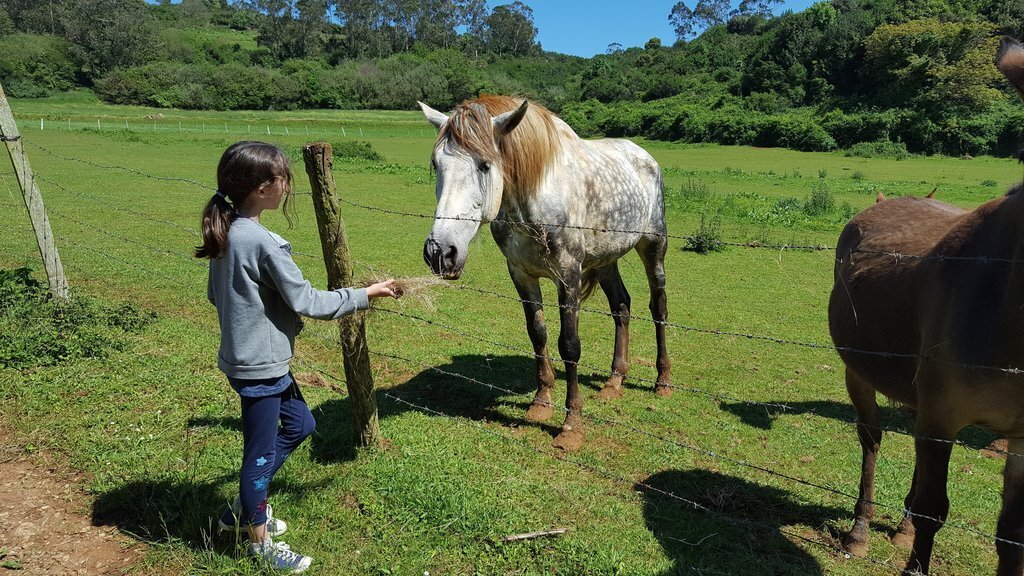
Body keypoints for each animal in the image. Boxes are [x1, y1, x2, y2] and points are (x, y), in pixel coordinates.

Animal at [418, 94, 671, 451]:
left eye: (485, 165)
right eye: (436, 164)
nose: (440, 253)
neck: (533, 199)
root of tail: (644, 156)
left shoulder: (568, 275)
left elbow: (570, 345)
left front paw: (571, 425)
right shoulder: (521, 274)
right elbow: (538, 334)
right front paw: (541, 403)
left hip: (654, 247)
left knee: (658, 307)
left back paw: (663, 380)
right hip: (605, 260)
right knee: (621, 306)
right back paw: (614, 381)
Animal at [827, 37, 1024, 576]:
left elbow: (1013, 535)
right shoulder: (940, 415)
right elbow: (936, 510)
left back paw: (900, 527)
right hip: (860, 372)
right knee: (872, 439)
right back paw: (861, 532)